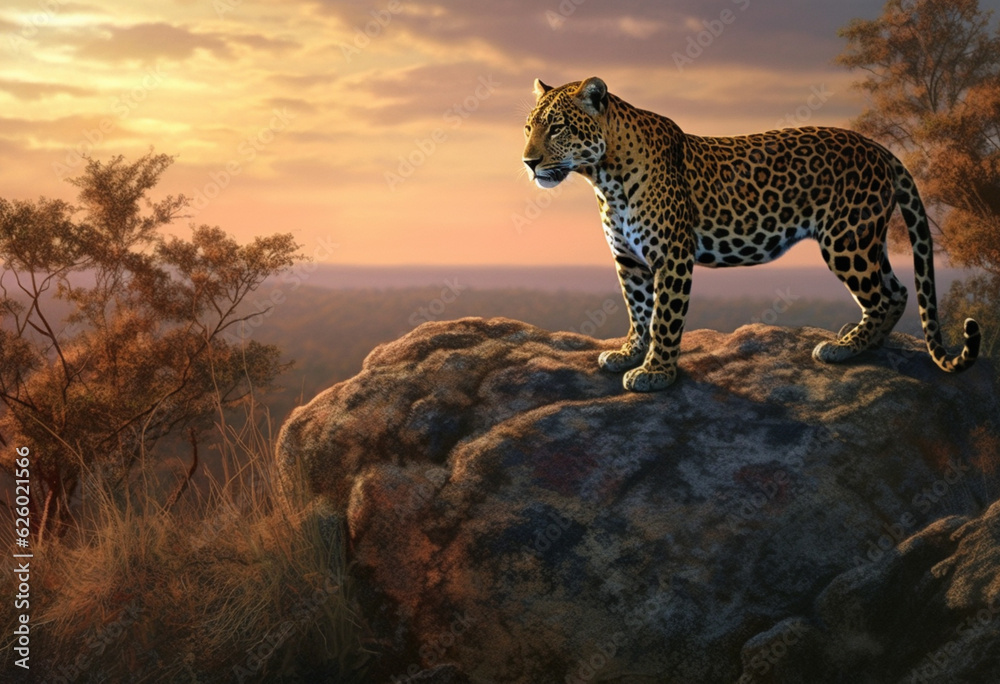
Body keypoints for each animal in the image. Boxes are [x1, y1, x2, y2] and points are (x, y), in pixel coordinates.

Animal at [521, 77, 980, 392]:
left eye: (558, 127)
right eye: (528, 127)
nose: (528, 162)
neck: (604, 179)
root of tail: (879, 147)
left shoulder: (672, 256)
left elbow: (664, 317)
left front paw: (657, 373)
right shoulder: (629, 260)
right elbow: (637, 311)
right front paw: (627, 354)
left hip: (846, 240)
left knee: (883, 296)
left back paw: (844, 349)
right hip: (866, 238)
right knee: (898, 290)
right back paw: (865, 342)